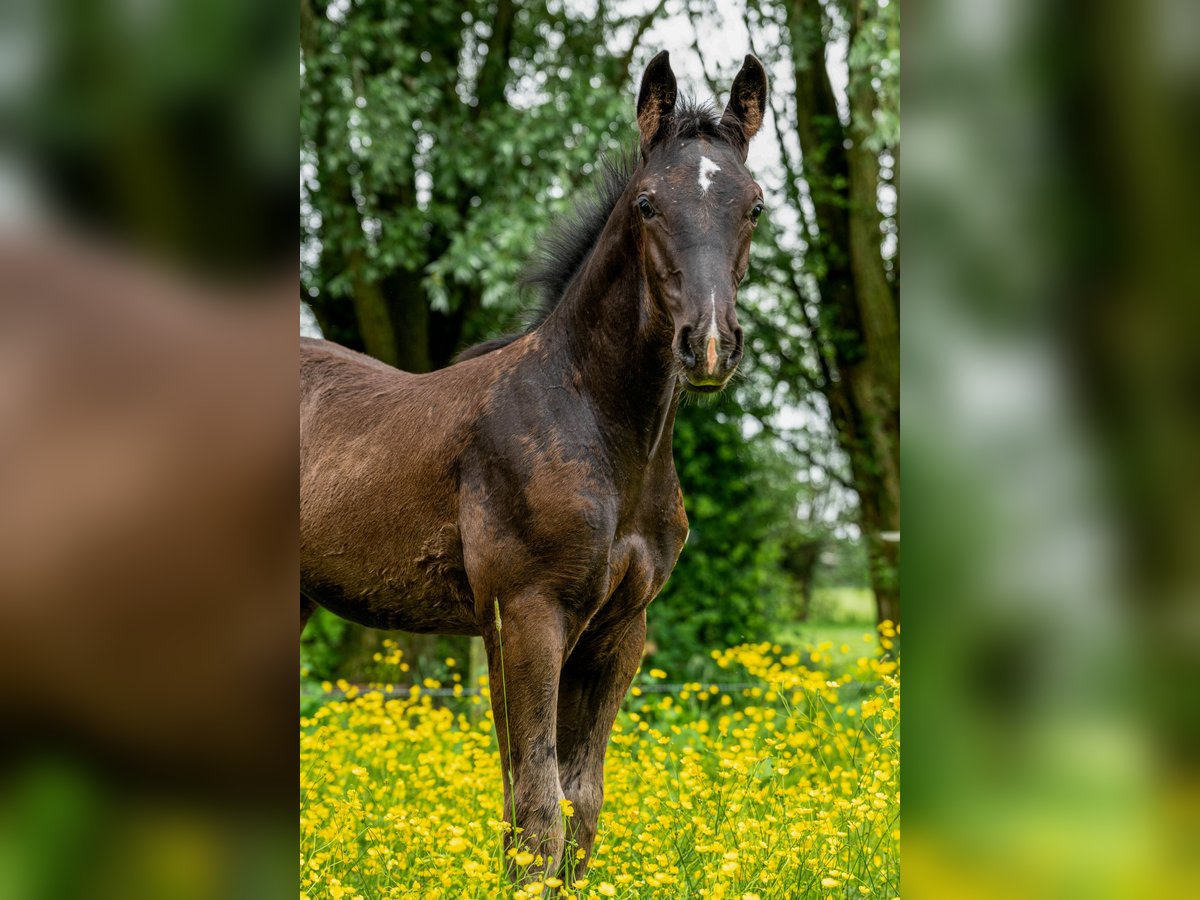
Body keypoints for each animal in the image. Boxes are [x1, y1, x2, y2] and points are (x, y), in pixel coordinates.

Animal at [300, 52, 768, 878]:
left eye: (754, 207)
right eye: (647, 204)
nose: (709, 344)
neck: (598, 429)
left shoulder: (621, 630)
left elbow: (581, 808)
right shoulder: (525, 614)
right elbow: (536, 811)